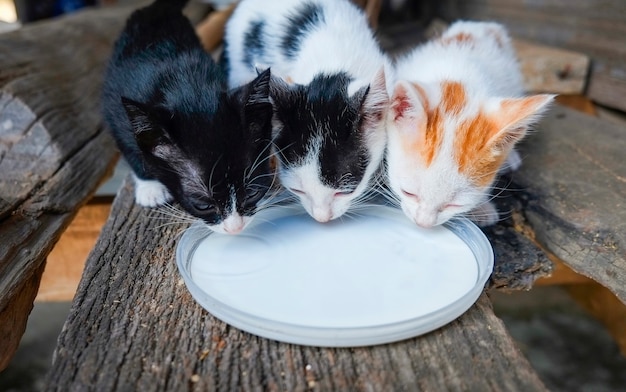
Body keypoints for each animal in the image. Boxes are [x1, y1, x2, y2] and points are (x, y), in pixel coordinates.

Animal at [102, 0, 272, 233]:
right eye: (202, 205)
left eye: (254, 192)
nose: (234, 228)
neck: (186, 89)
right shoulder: (116, 111)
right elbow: (129, 147)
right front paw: (150, 188)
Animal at [386, 21, 552, 228]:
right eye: (408, 193)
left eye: (455, 205)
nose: (424, 223)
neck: (455, 78)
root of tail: (481, 25)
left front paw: (481, 208)